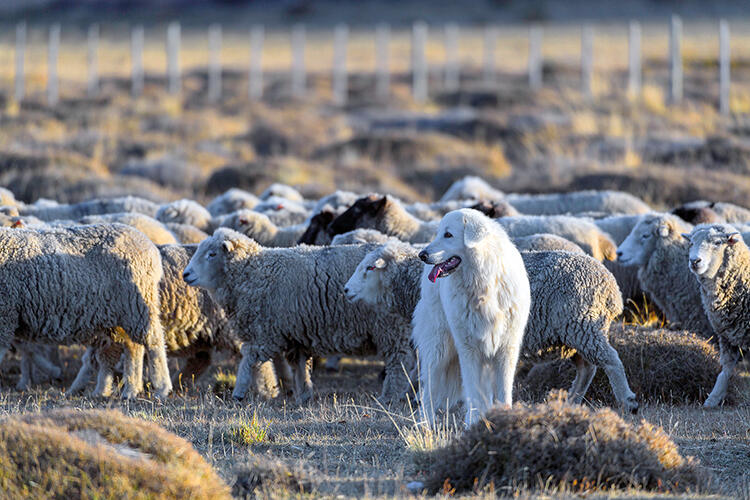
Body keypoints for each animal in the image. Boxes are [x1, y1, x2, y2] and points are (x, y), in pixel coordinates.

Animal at [0, 223, 171, 398]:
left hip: (138, 305)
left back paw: (161, 388)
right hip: (117, 317)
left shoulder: (5, 314)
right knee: (130, 348)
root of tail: (149, 245)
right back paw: (124, 390)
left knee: (154, 342)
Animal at [183, 229, 418, 404]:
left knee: (398, 363)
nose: (186, 274)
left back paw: (389, 397)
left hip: (392, 327)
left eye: (212, 254)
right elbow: (299, 365)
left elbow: (249, 358)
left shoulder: (266, 333)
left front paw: (239, 392)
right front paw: (304, 395)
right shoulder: (295, 334)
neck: (254, 272)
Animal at [346, 240, 636, 412]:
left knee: (610, 361)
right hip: (575, 332)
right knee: (588, 367)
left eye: (370, 268)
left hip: (583, 325)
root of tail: (612, 289)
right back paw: (572, 401)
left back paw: (627, 400)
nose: (346, 290)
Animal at [414, 208, 532, 426]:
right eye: (439, 233)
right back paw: (426, 422)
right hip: (439, 347)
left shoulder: (506, 349)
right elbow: (473, 391)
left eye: (448, 235)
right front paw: (474, 424)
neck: (484, 284)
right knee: (429, 387)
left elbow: (503, 391)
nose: (422, 255)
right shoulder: (468, 349)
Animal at [692, 225, 750, 408]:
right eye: (691, 242)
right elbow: (726, 370)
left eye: (718, 243)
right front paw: (713, 399)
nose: (694, 261)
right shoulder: (726, 336)